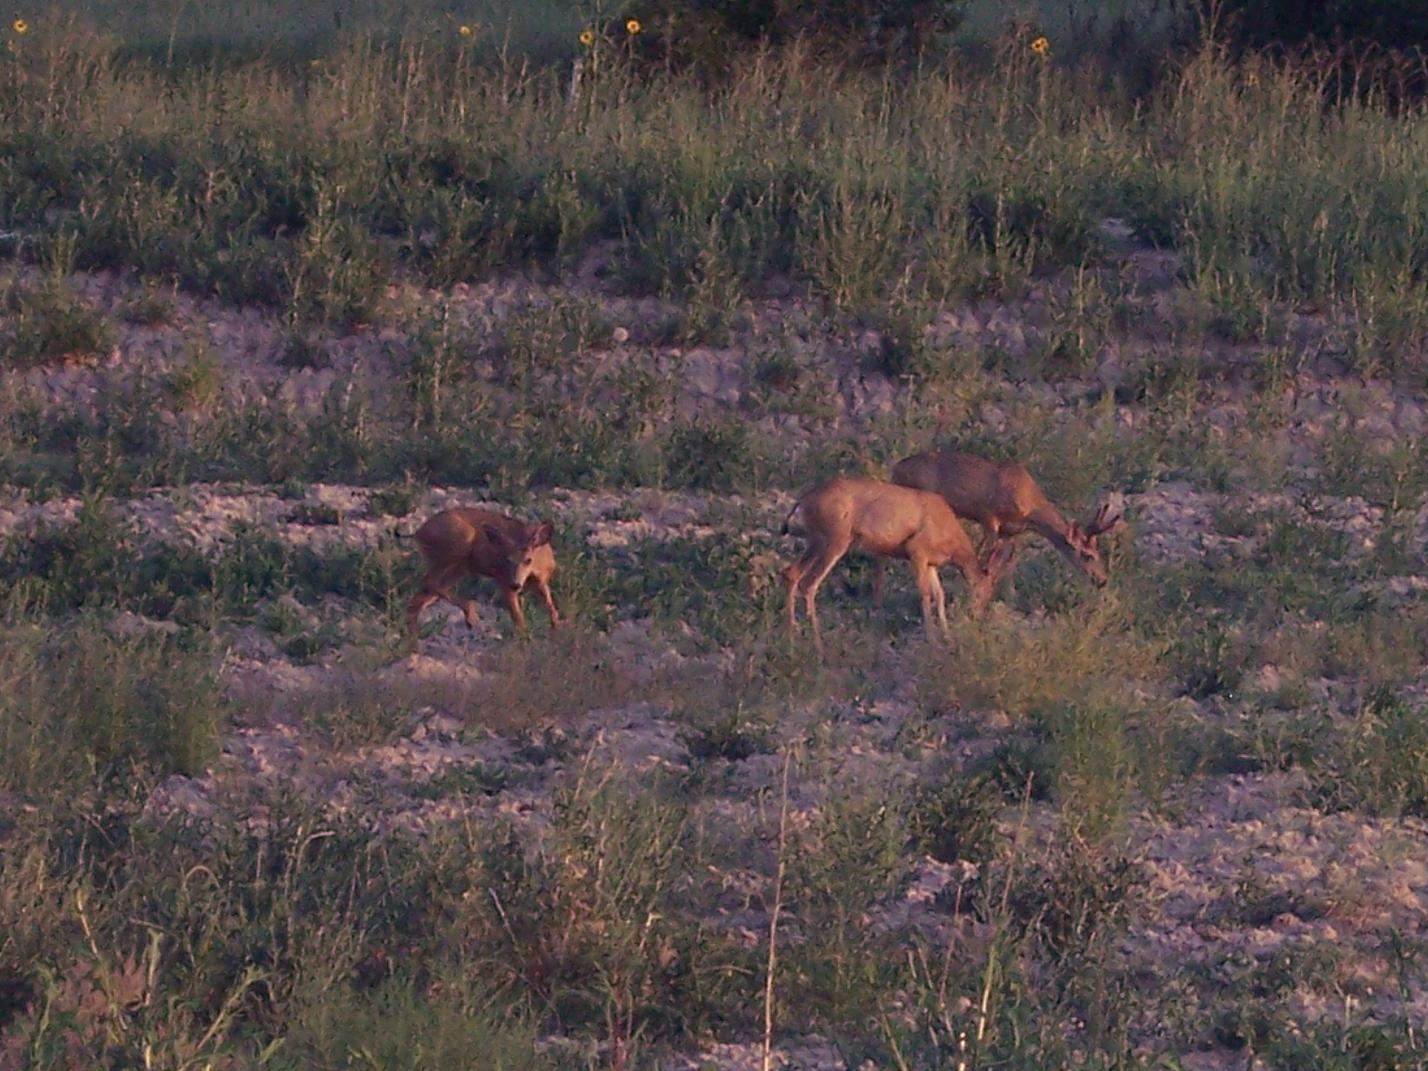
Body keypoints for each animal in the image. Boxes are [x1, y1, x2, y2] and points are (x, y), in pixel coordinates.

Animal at [408, 508, 562, 642]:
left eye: (528, 560)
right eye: (507, 559)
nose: (516, 584)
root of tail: (419, 533)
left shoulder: (542, 582)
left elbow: (552, 610)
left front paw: (556, 636)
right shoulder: (503, 579)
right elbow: (518, 618)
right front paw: (525, 642)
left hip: (459, 568)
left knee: (420, 597)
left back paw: (412, 639)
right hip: (460, 543)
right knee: (427, 582)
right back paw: (471, 616)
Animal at [782, 476, 1005, 645]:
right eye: (985, 591)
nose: (977, 616)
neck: (951, 539)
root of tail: (803, 500)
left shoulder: (931, 563)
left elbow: (940, 595)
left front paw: (947, 635)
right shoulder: (916, 549)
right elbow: (925, 593)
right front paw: (931, 638)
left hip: (816, 540)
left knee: (792, 572)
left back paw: (792, 632)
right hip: (835, 538)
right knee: (809, 583)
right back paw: (817, 641)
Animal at [879, 448, 1125, 599]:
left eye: (1099, 553)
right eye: (1087, 555)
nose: (1102, 580)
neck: (1030, 507)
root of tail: (895, 469)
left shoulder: (1011, 533)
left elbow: (1007, 567)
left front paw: (1008, 596)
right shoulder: (988, 517)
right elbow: (981, 559)